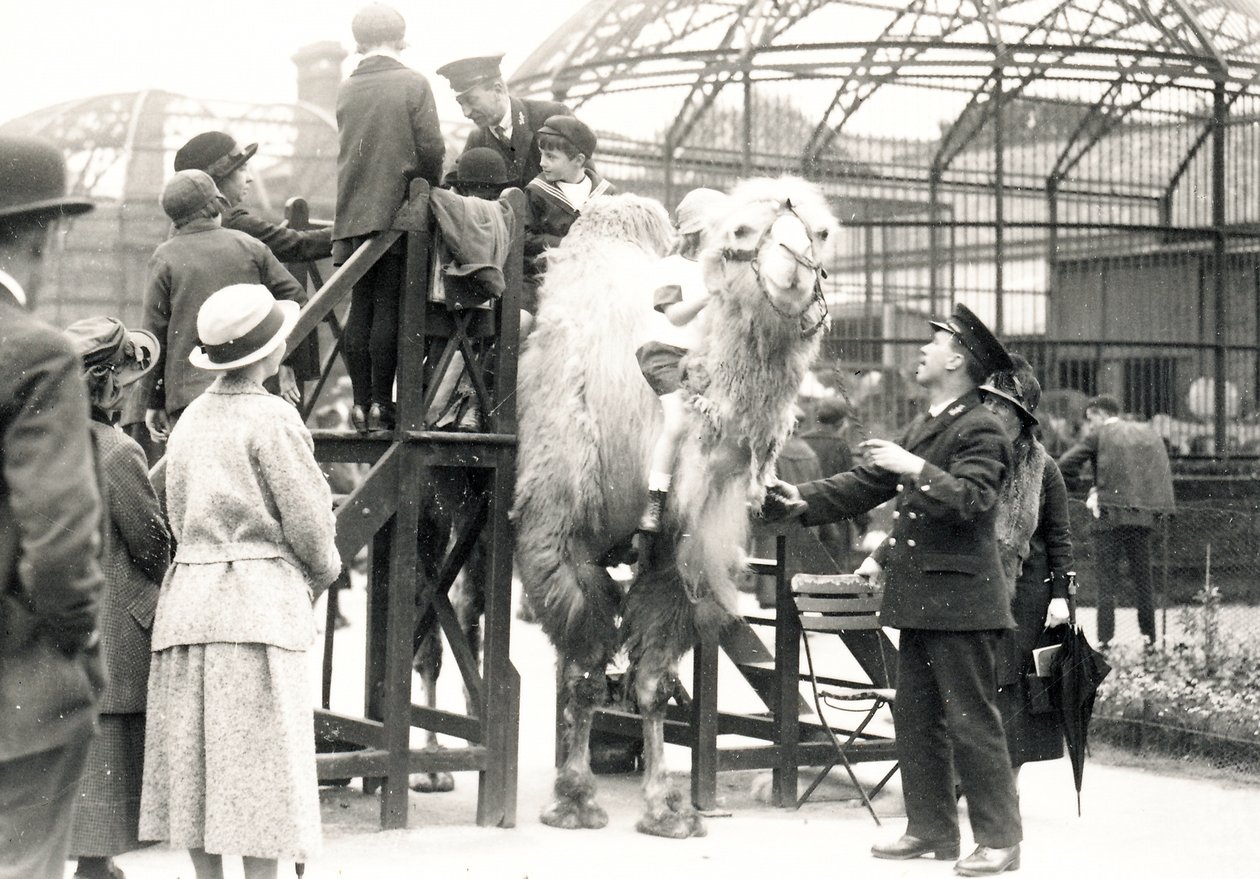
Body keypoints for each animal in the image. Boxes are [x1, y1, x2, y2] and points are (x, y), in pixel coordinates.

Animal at [511, 180, 836, 836]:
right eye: (741, 232)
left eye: (821, 232)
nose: (793, 266)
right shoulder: (558, 540)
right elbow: (582, 674)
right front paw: (574, 801)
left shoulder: (673, 557)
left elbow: (653, 681)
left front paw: (666, 809)